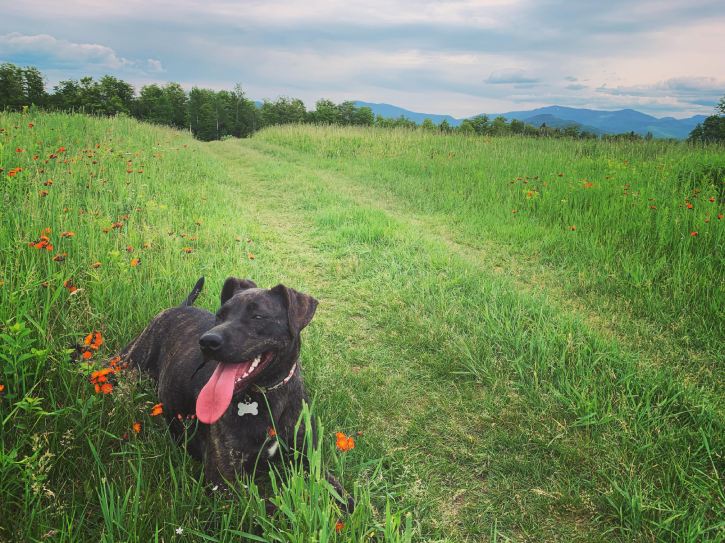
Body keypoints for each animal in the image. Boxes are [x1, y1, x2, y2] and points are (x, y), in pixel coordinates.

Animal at [119, 276, 350, 510]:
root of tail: (180, 307)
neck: (267, 395)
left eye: (258, 316)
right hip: (129, 365)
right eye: (220, 315)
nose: (207, 341)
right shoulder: (225, 481)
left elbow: (345, 497)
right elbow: (267, 513)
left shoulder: (311, 461)